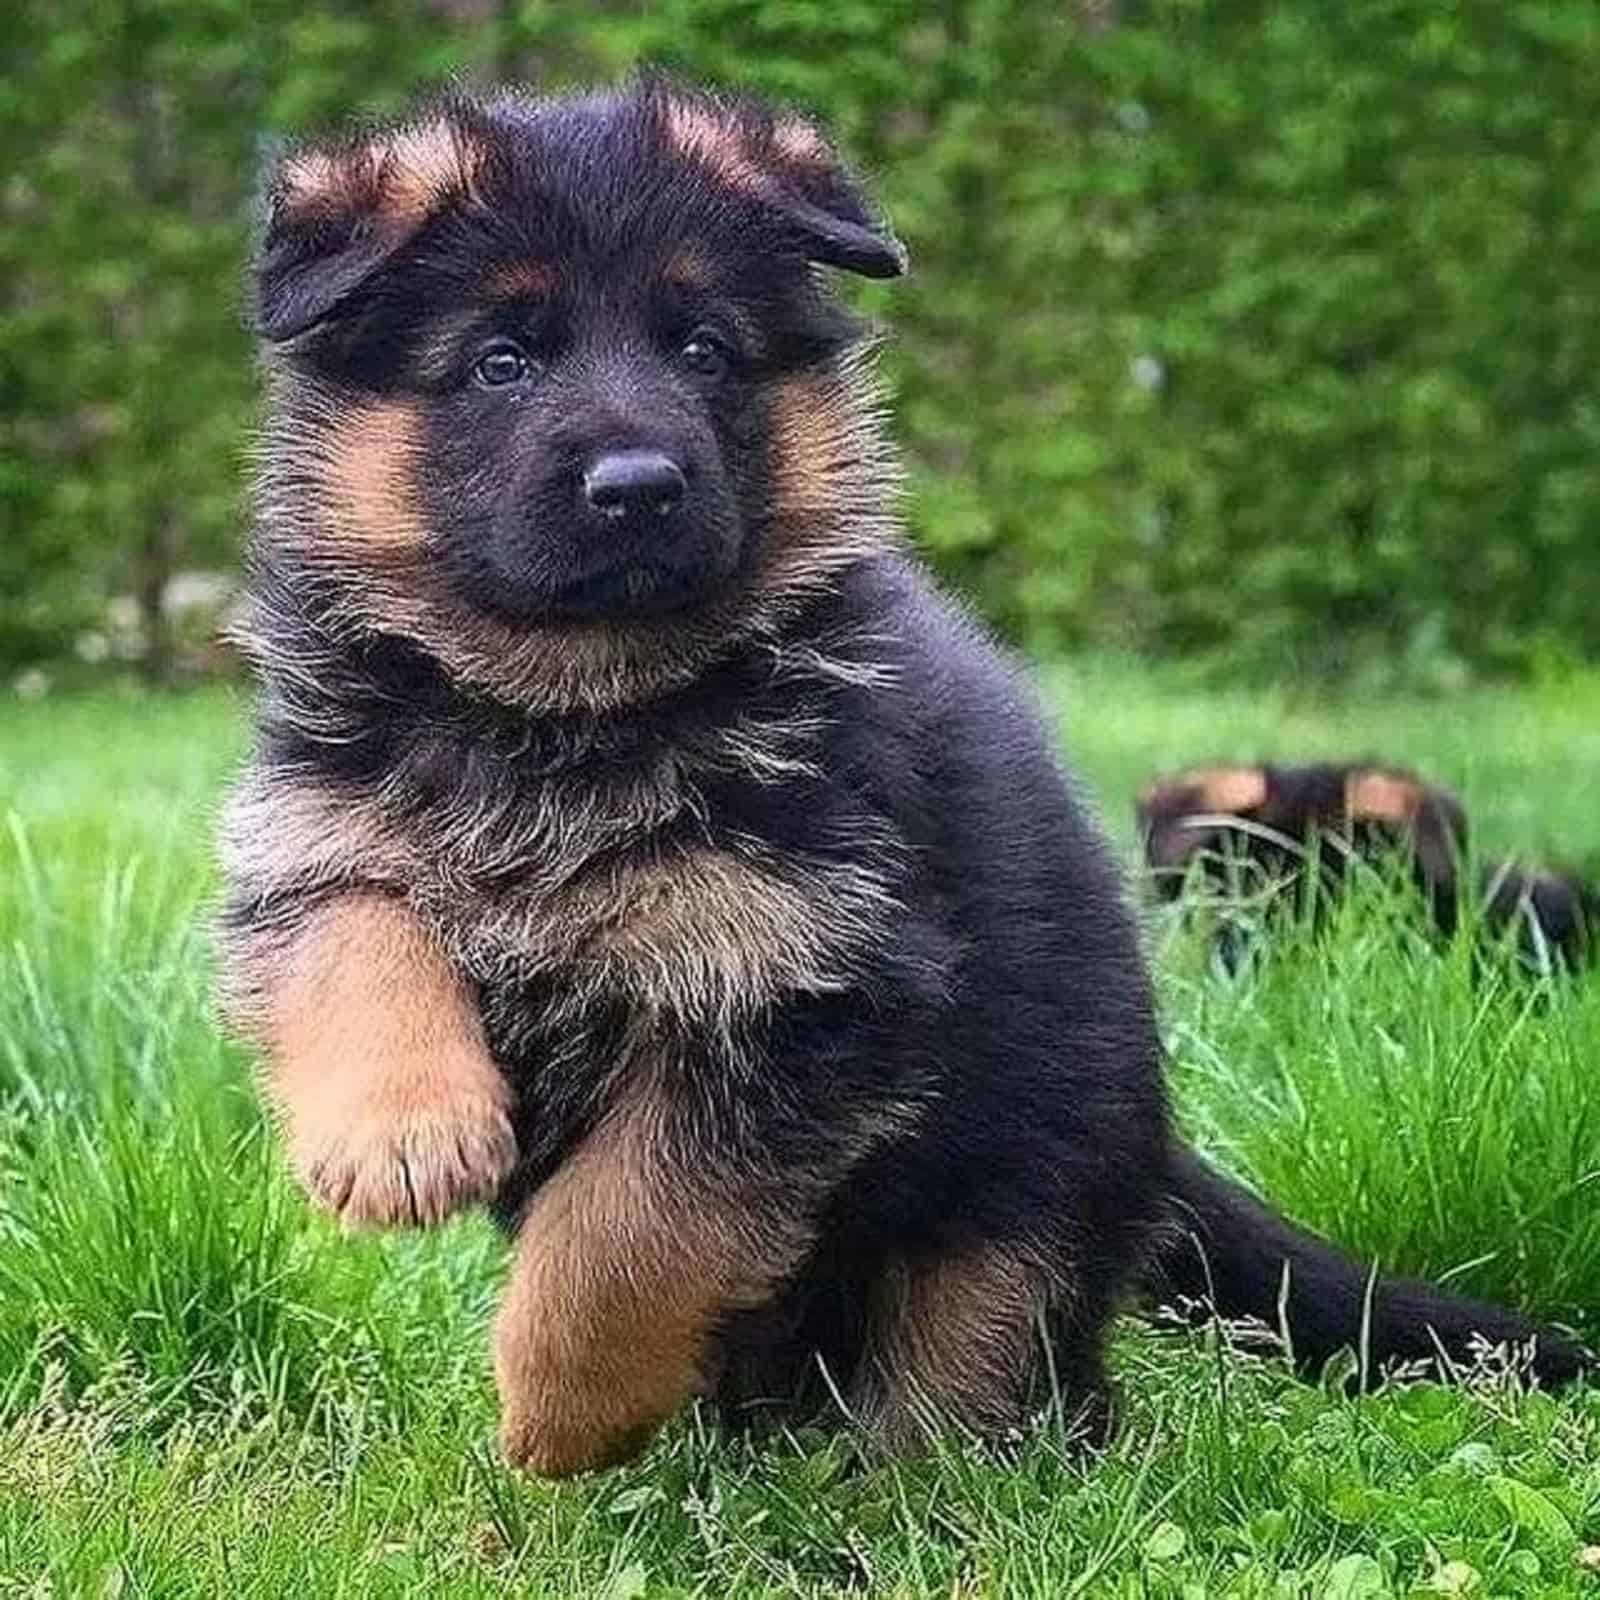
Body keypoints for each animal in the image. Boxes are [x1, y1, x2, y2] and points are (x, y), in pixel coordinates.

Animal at [222, 75, 1587, 1472]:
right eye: (501, 360)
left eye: (702, 349)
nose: (638, 485)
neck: (579, 711)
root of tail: (1159, 1141)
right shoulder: (314, 838)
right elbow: (359, 936)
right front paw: (396, 1130)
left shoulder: (806, 993)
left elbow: (628, 1219)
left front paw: (564, 1405)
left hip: (1013, 1222)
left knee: (1001, 1378)